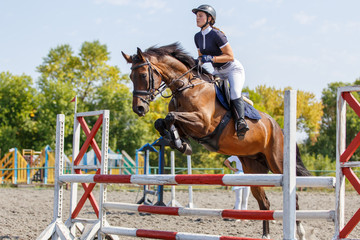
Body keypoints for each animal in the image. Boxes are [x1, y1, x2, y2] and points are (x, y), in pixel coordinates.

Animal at [121, 42, 312, 239]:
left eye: (143, 75)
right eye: (131, 77)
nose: (139, 108)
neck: (186, 87)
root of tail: (279, 129)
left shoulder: (203, 123)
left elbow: (170, 117)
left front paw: (180, 143)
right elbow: (162, 121)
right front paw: (181, 144)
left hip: (277, 163)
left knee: (293, 197)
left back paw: (300, 231)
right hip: (253, 169)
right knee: (264, 202)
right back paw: (265, 235)